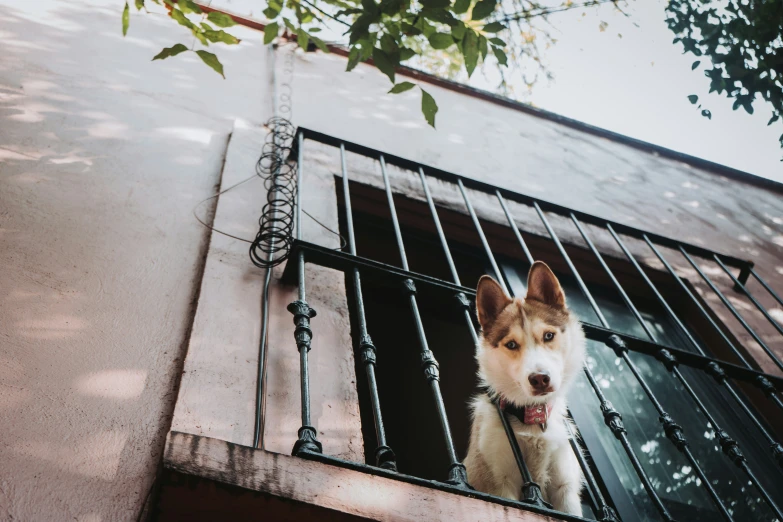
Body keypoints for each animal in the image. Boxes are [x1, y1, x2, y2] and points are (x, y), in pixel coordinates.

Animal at [462, 260, 584, 512]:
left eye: (548, 336)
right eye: (511, 344)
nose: (539, 378)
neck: (533, 421)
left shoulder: (565, 489)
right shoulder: (500, 484)